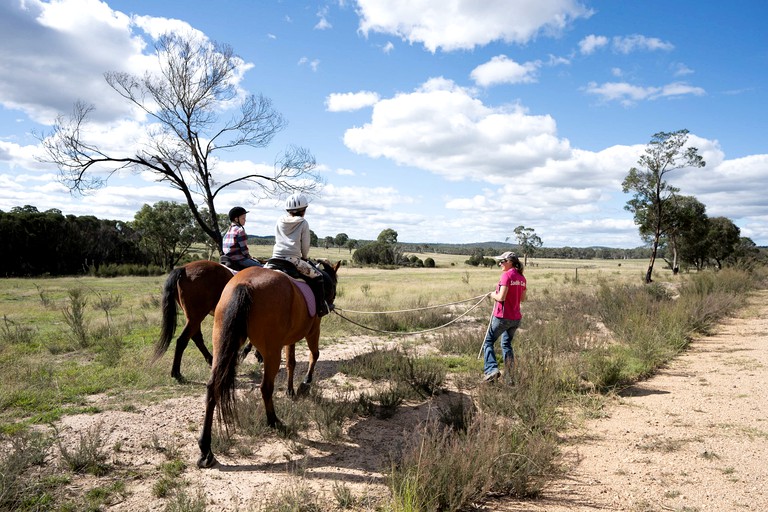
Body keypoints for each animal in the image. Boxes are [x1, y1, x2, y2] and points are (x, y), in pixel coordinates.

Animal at [198, 260, 340, 468]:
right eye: (334, 285)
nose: (332, 303)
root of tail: (245, 284)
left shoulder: (290, 339)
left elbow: (291, 363)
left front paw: (290, 390)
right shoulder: (313, 330)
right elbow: (314, 355)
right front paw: (305, 383)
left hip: (221, 346)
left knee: (212, 388)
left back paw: (205, 450)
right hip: (272, 351)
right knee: (265, 387)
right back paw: (273, 421)